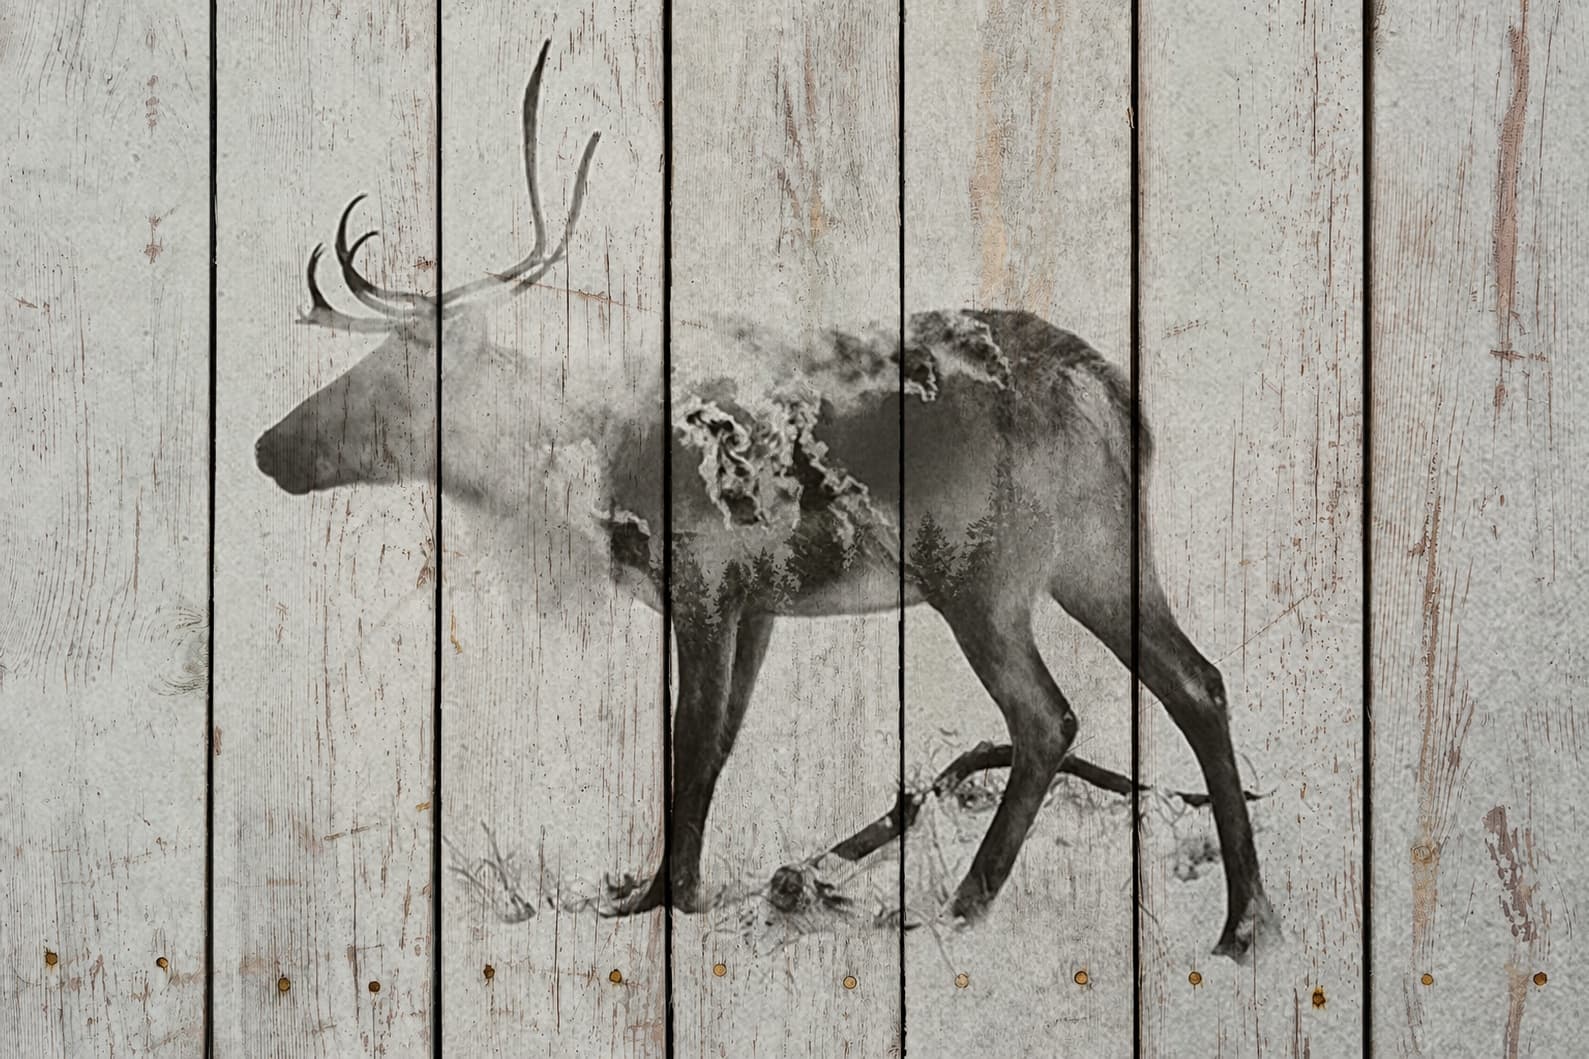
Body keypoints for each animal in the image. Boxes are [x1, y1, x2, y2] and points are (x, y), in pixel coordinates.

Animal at [253, 41, 1276, 958]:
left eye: (386, 378)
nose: (267, 447)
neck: (588, 464)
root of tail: (1109, 392)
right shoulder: (761, 604)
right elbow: (721, 745)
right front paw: (669, 887)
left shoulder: (705, 580)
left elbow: (690, 742)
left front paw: (662, 900)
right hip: (1104, 553)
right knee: (1200, 682)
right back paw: (1242, 922)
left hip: (980, 572)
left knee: (1047, 717)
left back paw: (958, 906)